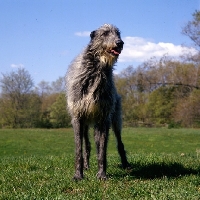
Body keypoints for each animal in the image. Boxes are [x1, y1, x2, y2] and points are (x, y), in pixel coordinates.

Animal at [65, 24, 129, 180]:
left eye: (118, 33)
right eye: (105, 33)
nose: (120, 43)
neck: (96, 70)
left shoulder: (104, 117)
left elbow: (102, 150)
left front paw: (101, 174)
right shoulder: (78, 116)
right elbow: (79, 149)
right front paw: (78, 175)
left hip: (114, 119)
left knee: (118, 142)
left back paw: (125, 164)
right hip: (87, 124)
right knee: (87, 144)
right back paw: (86, 166)